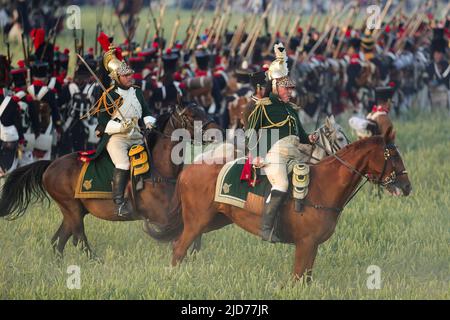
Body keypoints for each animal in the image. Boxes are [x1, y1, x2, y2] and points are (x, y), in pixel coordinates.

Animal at [0, 104, 216, 258]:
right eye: (191, 116)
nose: (217, 131)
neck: (158, 168)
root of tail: (51, 165)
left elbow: (195, 229)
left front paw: (193, 253)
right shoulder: (160, 215)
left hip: (73, 211)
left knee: (58, 241)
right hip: (71, 208)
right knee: (79, 237)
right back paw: (95, 260)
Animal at [147, 129, 412, 282]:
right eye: (393, 155)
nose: (407, 186)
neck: (323, 186)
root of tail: (189, 168)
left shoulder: (312, 246)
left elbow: (306, 278)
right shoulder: (305, 244)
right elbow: (297, 277)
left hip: (213, 221)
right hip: (197, 222)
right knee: (179, 248)